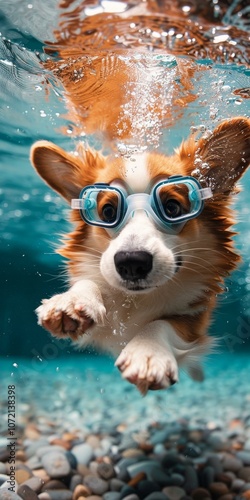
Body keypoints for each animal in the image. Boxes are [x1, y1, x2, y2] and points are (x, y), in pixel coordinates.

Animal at [30, 118, 250, 394]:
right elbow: (91, 280)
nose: (131, 263)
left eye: (172, 207)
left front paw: (148, 353)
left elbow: (164, 323)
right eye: (108, 211)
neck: (137, 300)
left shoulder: (196, 318)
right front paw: (71, 301)